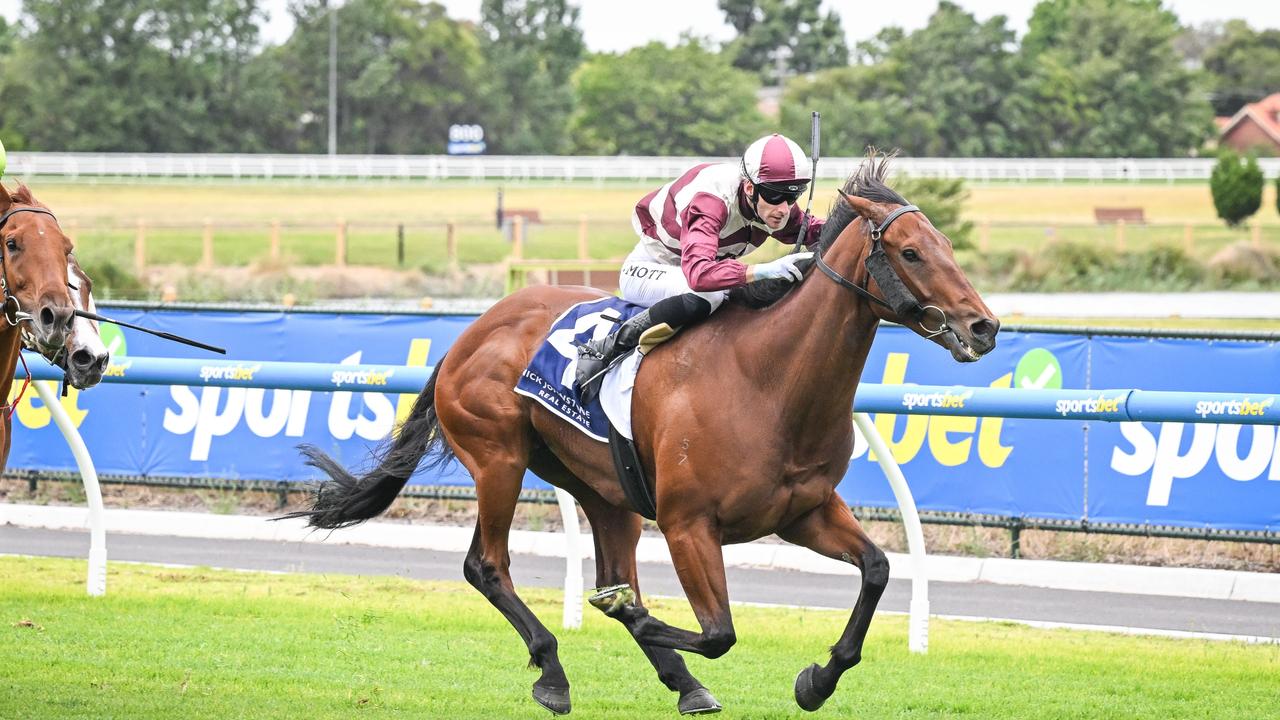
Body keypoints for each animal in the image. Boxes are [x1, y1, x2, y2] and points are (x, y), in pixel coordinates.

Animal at [290, 154, 998, 707]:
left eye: (948, 247)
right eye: (911, 252)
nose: (984, 327)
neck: (769, 382)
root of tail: (473, 331)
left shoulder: (804, 511)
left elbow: (876, 569)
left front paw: (817, 681)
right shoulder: (689, 525)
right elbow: (716, 632)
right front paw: (629, 616)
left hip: (605, 490)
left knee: (606, 561)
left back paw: (677, 679)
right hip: (499, 459)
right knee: (488, 566)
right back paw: (555, 671)